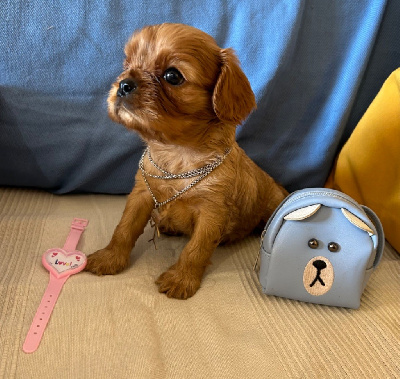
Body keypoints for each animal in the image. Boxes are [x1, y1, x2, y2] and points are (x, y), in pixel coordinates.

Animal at [86, 23, 290, 300]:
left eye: (172, 76)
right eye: (127, 64)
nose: (124, 84)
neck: (176, 156)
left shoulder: (212, 212)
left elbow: (196, 248)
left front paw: (181, 279)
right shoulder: (141, 194)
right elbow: (124, 228)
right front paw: (109, 258)